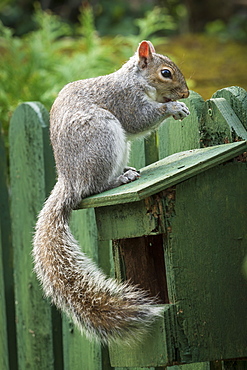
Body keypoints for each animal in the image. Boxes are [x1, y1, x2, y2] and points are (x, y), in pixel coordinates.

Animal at [32, 40, 190, 344]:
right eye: (165, 73)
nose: (186, 93)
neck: (135, 80)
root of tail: (70, 179)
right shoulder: (125, 101)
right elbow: (139, 119)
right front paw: (173, 107)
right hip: (101, 136)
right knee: (93, 188)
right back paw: (120, 179)